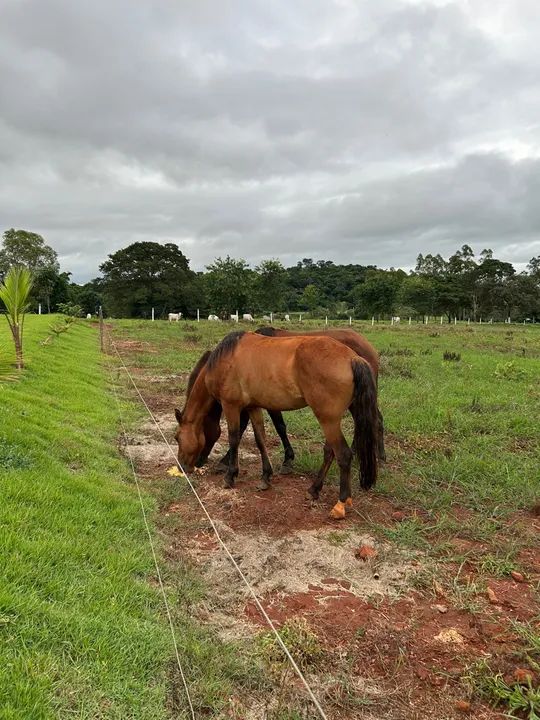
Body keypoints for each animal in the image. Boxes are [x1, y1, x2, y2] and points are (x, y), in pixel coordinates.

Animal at [174, 331, 379, 519]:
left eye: (176, 438)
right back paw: (314, 490)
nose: (183, 467)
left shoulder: (231, 405)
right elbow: (260, 440)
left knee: (343, 455)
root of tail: (352, 358)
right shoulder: (253, 407)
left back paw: (340, 503)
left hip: (328, 420)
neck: (224, 359)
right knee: (330, 452)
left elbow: (233, 438)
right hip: (333, 420)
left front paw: (230, 476)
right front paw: (265, 477)